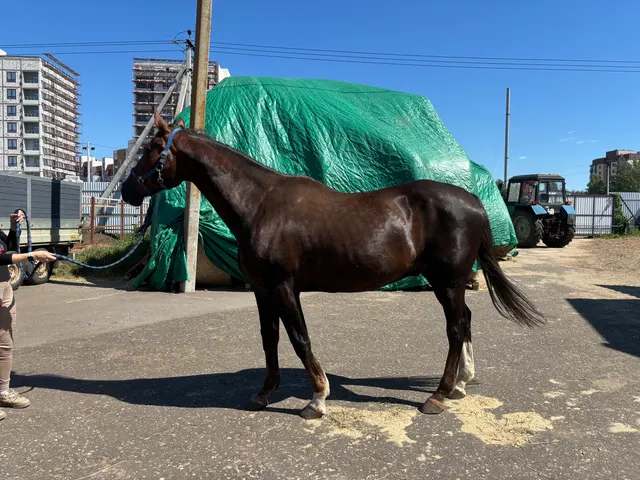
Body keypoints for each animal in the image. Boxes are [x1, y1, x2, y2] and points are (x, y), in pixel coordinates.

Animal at [121, 111, 545, 420]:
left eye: (151, 148)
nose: (126, 190)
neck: (260, 204)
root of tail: (474, 201)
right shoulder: (261, 289)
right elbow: (270, 338)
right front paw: (264, 393)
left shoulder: (284, 286)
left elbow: (300, 338)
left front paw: (317, 399)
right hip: (451, 283)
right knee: (466, 321)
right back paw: (460, 384)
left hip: (448, 281)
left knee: (456, 329)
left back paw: (438, 395)